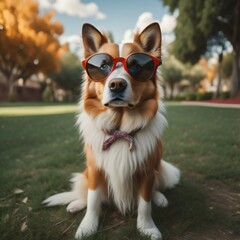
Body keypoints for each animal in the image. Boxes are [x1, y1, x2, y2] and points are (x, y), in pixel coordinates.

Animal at [43, 23, 180, 240]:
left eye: (137, 66)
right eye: (102, 66)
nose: (116, 84)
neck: (120, 129)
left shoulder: (147, 172)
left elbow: (145, 204)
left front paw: (147, 227)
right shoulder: (95, 169)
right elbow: (93, 201)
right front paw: (87, 226)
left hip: (162, 169)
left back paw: (160, 198)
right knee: (84, 193)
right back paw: (76, 203)